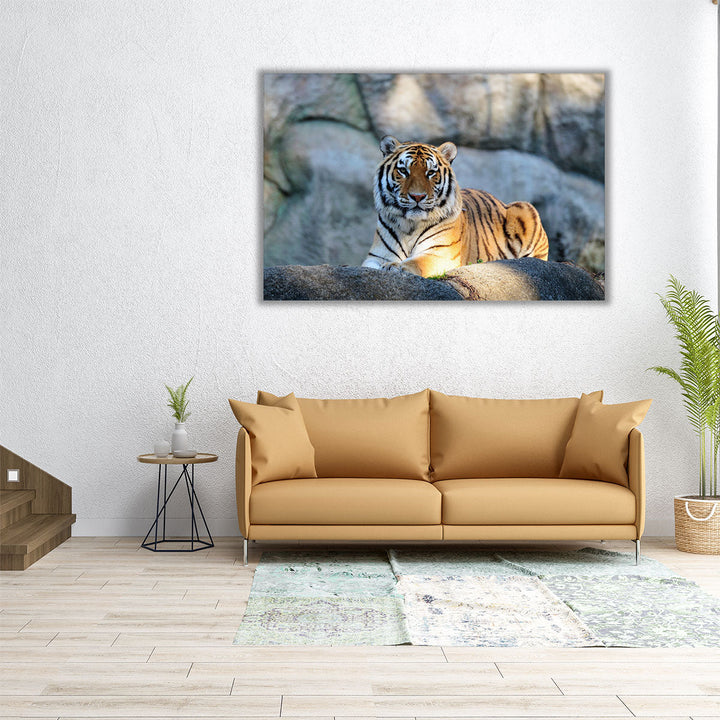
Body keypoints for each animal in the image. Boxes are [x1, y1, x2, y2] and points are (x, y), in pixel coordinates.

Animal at [361, 136, 549, 278]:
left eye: (431, 173)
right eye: (403, 171)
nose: (417, 196)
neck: (410, 225)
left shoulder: (439, 253)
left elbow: (415, 262)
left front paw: (395, 266)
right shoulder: (376, 256)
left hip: (525, 208)